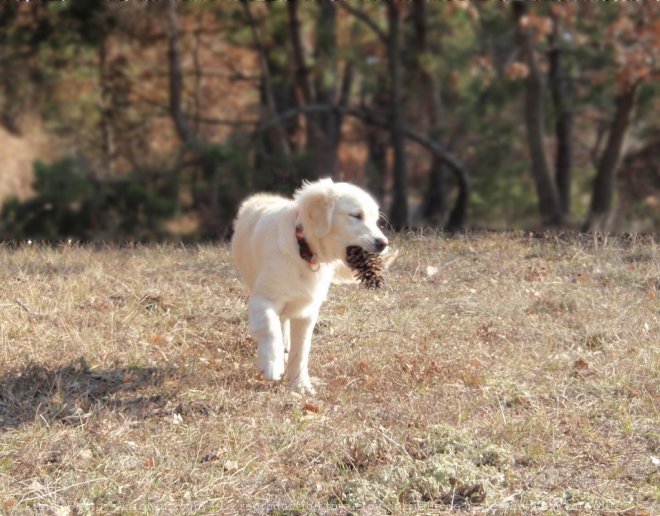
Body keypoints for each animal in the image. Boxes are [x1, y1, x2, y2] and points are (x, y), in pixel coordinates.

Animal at [231, 179, 390, 394]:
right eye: (356, 215)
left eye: (375, 220)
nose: (383, 243)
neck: (303, 250)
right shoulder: (262, 299)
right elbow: (269, 327)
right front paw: (272, 364)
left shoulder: (306, 312)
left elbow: (301, 350)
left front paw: (299, 385)